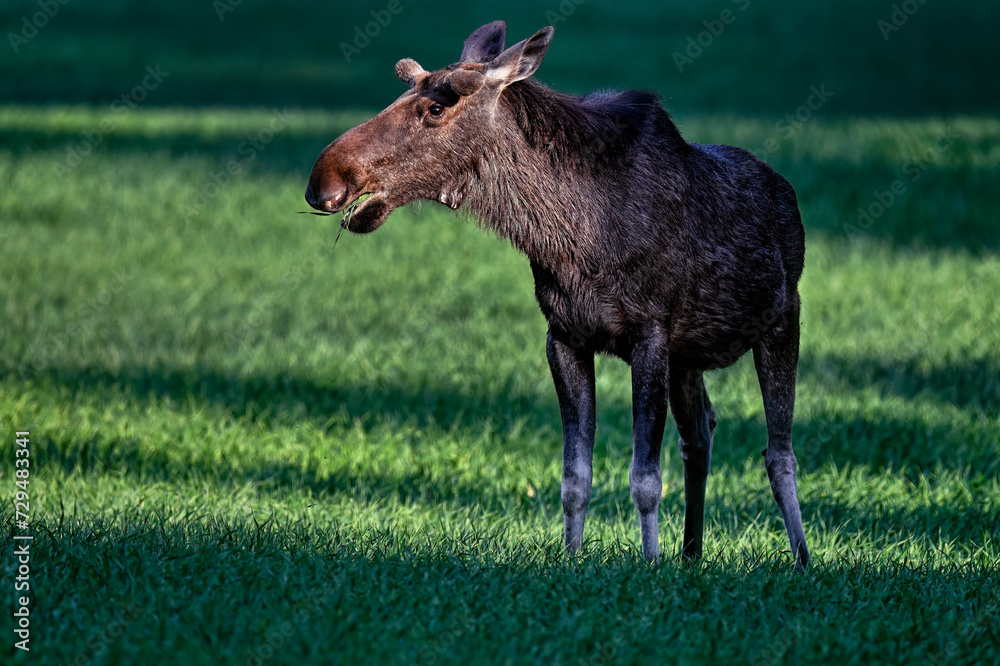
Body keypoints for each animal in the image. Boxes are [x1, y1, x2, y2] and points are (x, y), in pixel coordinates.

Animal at [304, 23, 812, 568]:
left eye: (438, 107)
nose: (324, 180)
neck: (569, 237)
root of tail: (788, 192)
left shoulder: (650, 334)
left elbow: (645, 477)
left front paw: (650, 562)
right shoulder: (565, 336)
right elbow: (574, 476)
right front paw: (572, 558)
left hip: (783, 320)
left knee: (779, 452)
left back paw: (801, 560)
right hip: (688, 357)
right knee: (699, 434)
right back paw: (691, 553)